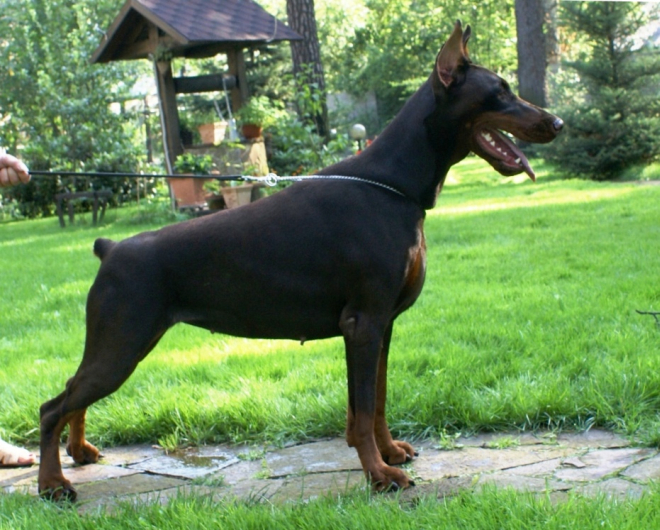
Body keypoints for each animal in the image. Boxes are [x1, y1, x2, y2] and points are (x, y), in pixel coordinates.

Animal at [38, 21, 562, 500]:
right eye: (499, 92)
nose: (557, 124)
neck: (395, 185)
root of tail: (111, 248)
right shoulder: (363, 322)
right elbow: (364, 406)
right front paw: (380, 475)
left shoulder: (384, 323)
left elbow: (376, 401)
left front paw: (390, 453)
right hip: (122, 340)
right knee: (52, 406)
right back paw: (52, 484)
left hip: (124, 342)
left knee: (71, 392)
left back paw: (79, 453)